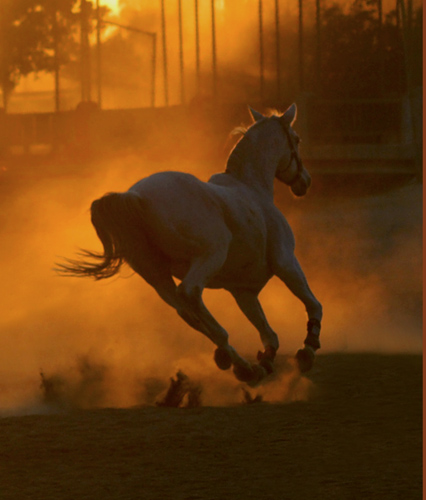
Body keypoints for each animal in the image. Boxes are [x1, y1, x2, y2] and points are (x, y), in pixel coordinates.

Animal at [57, 104, 322, 386]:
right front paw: (308, 348)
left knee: (184, 310)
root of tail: (136, 196)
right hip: (210, 256)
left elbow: (268, 333)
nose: (305, 182)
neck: (252, 189)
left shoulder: (244, 290)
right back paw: (231, 354)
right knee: (190, 294)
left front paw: (266, 360)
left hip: (157, 276)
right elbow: (313, 304)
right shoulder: (286, 262)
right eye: (296, 139)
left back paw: (242, 365)